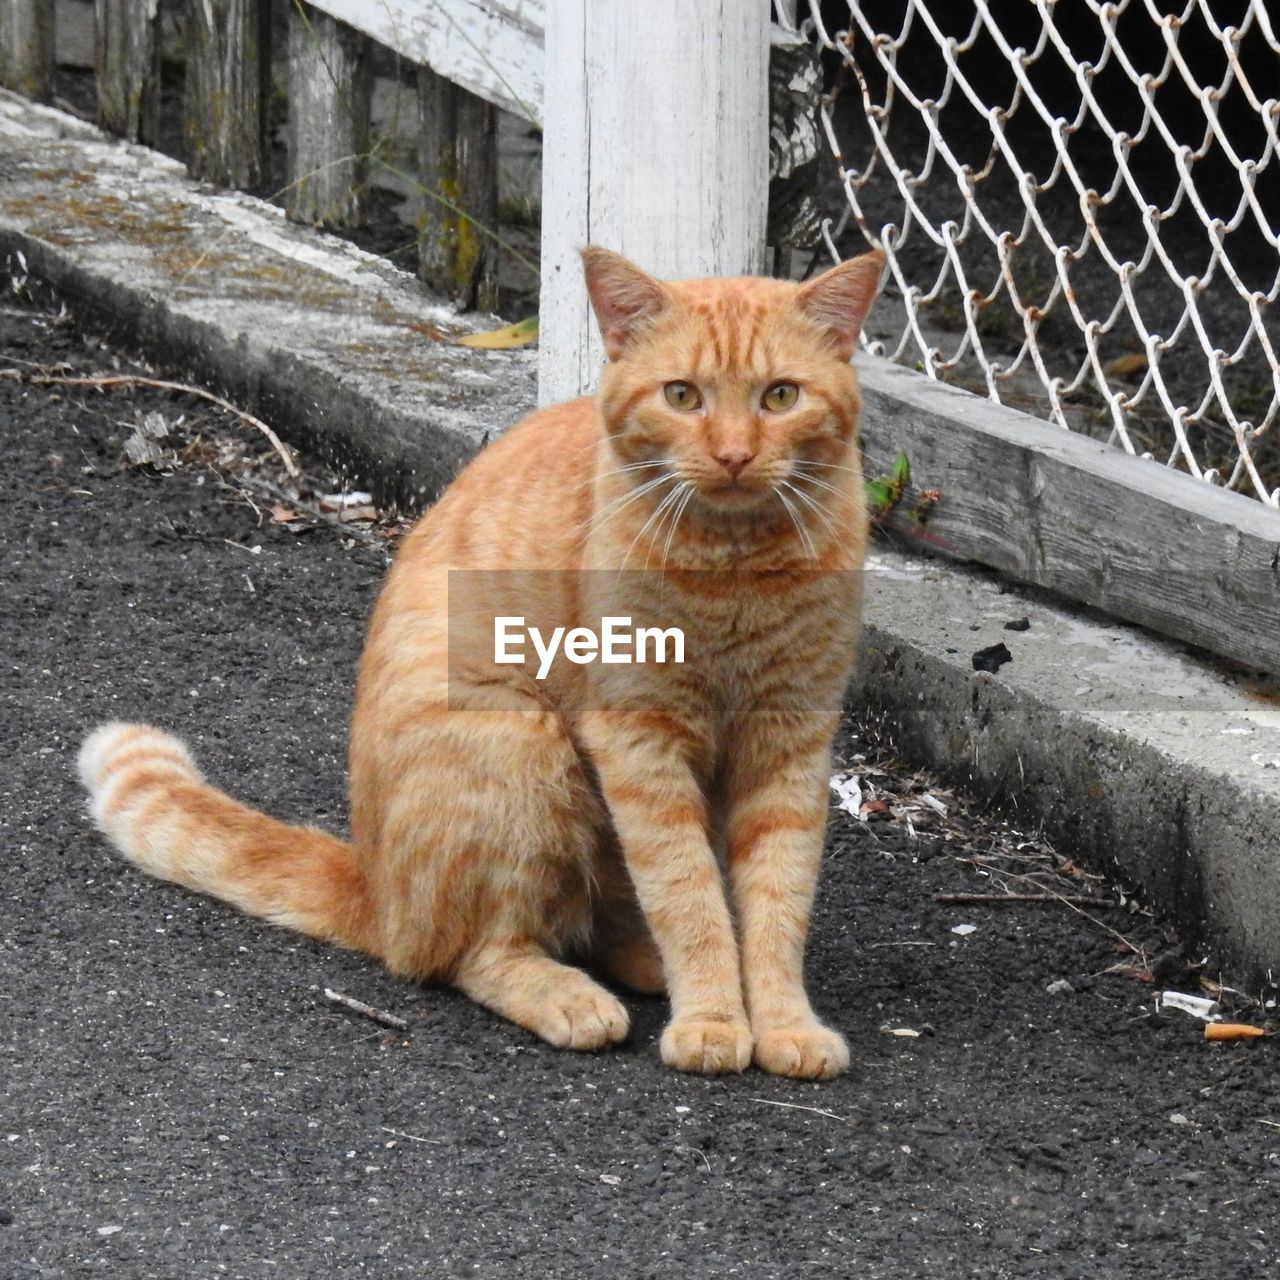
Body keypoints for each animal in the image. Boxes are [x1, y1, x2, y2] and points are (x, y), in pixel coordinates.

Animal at [77, 247, 880, 1080]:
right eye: (682, 396)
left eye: (780, 396)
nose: (732, 455)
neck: (734, 571)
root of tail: (373, 880)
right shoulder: (641, 742)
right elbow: (685, 893)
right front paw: (716, 1019)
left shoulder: (790, 741)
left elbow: (777, 898)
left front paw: (782, 1023)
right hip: (519, 743)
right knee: (469, 952)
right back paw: (573, 997)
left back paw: (642, 963)